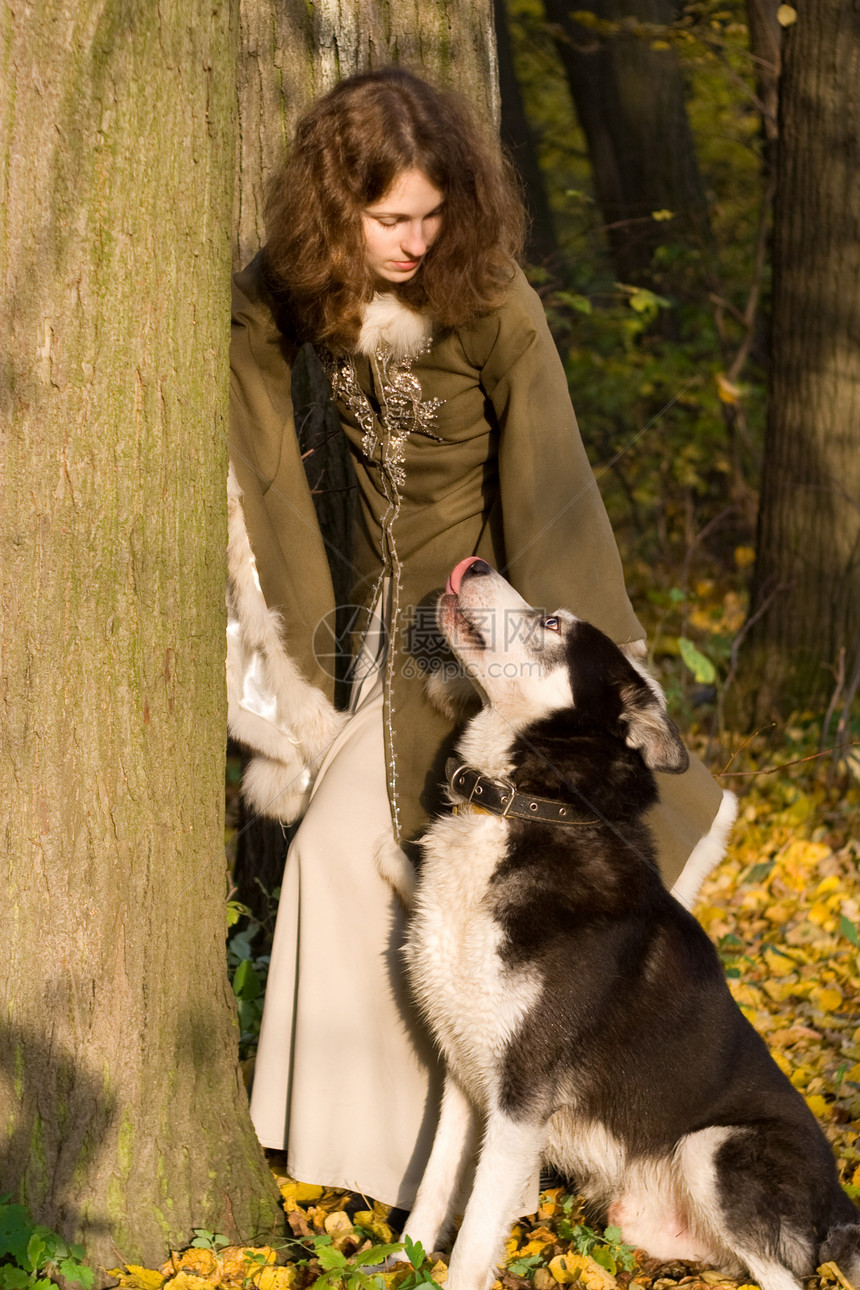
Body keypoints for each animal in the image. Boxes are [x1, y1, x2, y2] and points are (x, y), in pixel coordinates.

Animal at [399, 559, 860, 1290]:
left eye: (552, 623)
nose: (475, 564)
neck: (528, 806)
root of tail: (843, 1204)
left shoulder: (521, 1096)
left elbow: (473, 1238)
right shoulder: (463, 1074)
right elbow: (433, 1192)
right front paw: (392, 1266)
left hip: (715, 1148)